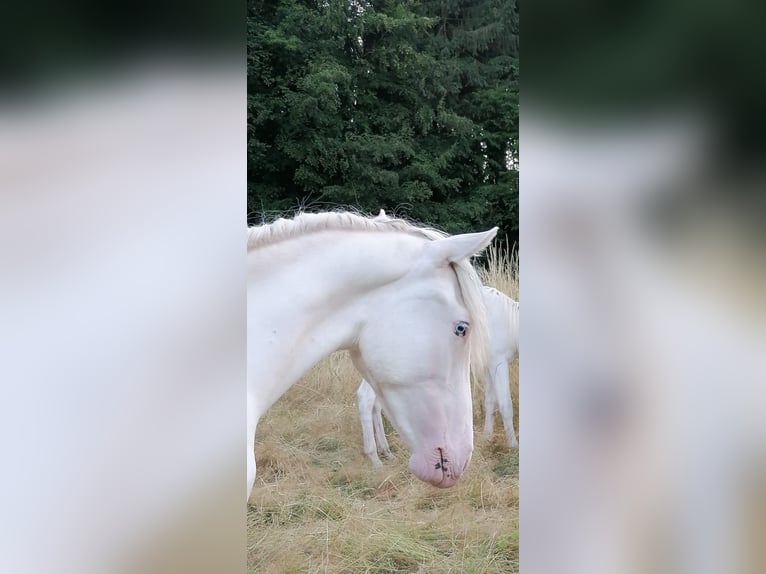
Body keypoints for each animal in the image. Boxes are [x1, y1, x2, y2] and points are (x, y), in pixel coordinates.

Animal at [360, 286, 520, 466]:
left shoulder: (490, 365)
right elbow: (506, 404)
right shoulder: (499, 362)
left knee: (375, 406)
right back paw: (374, 460)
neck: (510, 323)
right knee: (364, 399)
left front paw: (487, 438)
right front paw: (513, 445)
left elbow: (490, 403)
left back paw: (386, 452)